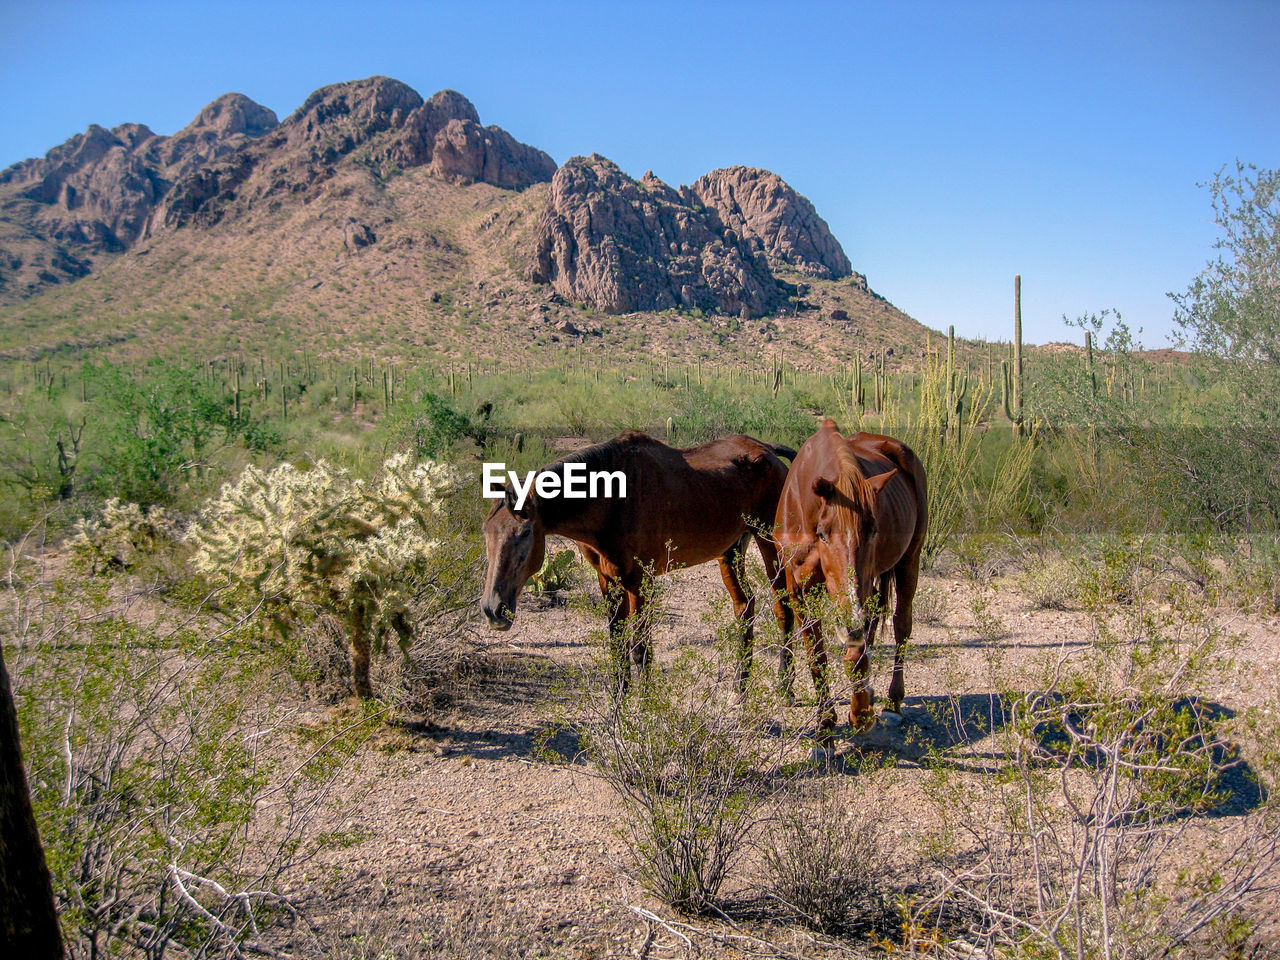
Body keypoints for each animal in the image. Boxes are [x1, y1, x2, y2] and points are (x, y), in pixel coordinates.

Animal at [483, 427, 793, 686]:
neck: (610, 497)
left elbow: (641, 651)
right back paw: (741, 687)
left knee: (783, 607)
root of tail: (767, 449)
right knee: (745, 606)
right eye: (486, 533)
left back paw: (784, 687)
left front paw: (644, 710)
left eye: (524, 532)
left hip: (768, 542)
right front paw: (620, 706)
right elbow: (617, 647)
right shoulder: (608, 580)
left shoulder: (640, 582)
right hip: (729, 552)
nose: (492, 609)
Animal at [773, 419, 926, 737]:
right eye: (823, 534)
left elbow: (856, 651)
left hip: (910, 559)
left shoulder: (860, 589)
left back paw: (893, 703)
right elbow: (817, 655)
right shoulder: (799, 588)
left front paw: (860, 714)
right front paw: (825, 727)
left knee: (901, 625)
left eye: (874, 531)